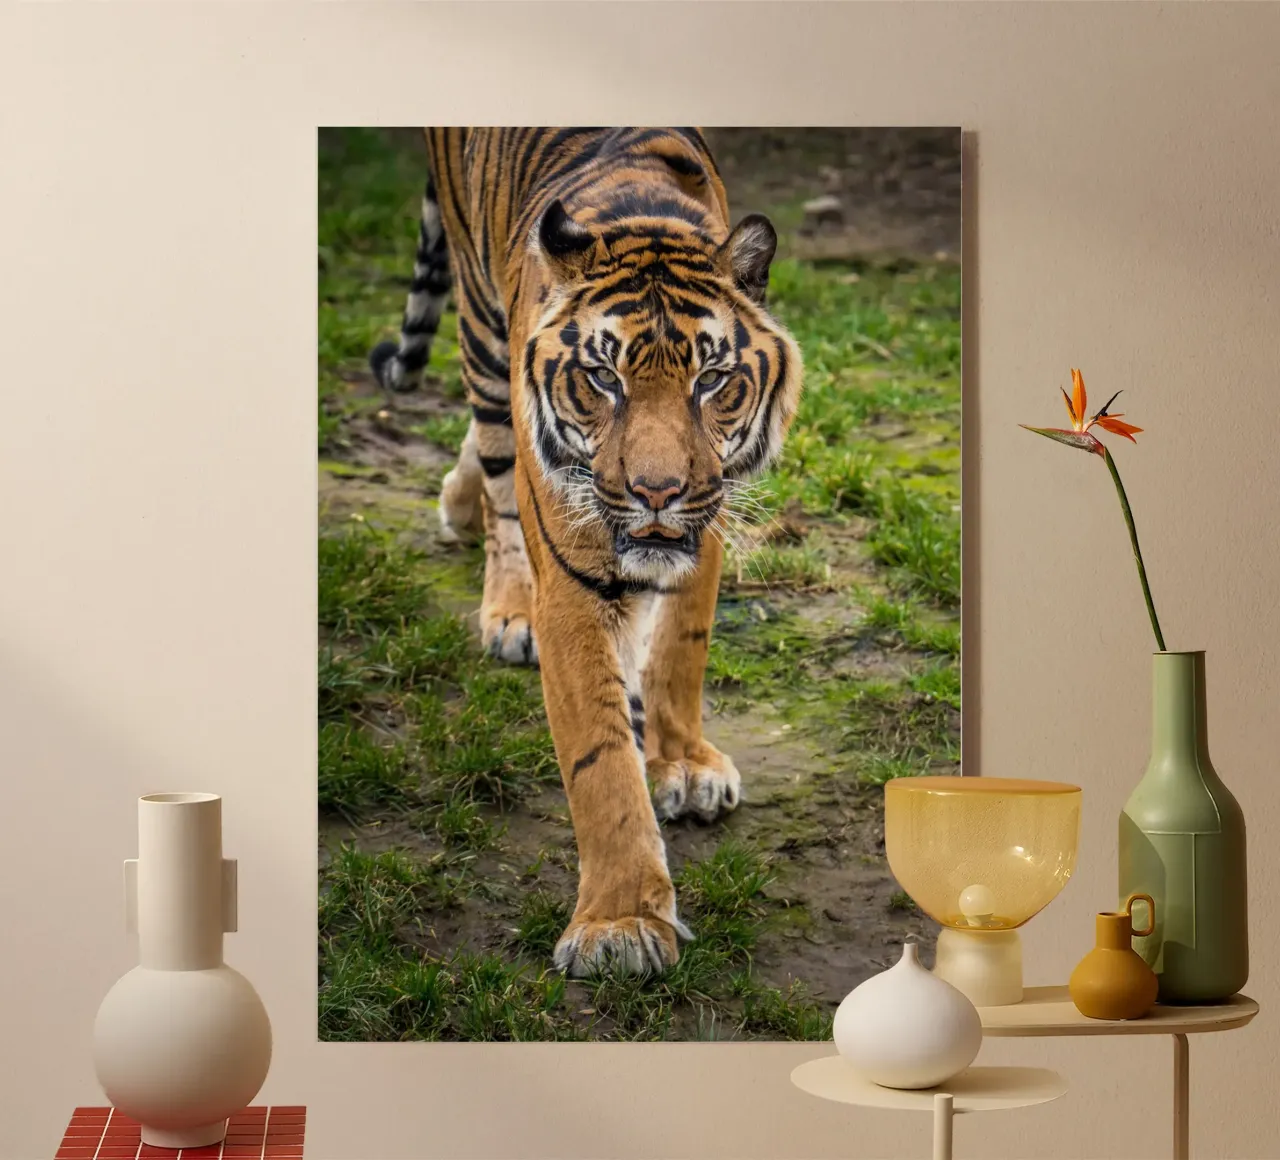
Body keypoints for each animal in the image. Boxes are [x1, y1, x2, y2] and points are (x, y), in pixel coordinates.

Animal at [370, 128, 803, 976]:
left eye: (713, 379)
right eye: (603, 377)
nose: (658, 491)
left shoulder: (705, 528)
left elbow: (680, 654)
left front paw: (683, 763)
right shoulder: (571, 583)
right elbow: (600, 764)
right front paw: (622, 923)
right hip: (480, 334)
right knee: (500, 482)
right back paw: (503, 598)